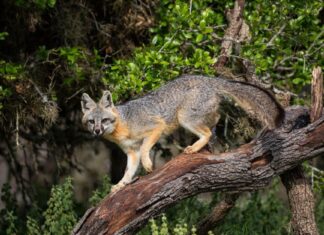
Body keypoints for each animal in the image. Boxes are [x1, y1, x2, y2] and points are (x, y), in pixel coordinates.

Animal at [81, 75, 284, 193]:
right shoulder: (131, 152)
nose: (97, 131)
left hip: (185, 118)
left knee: (207, 132)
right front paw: (122, 185)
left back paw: (194, 148)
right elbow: (128, 171)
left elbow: (146, 147)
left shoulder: (156, 127)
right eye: (92, 122)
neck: (124, 123)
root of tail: (209, 78)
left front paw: (148, 164)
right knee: (216, 118)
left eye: (104, 121)